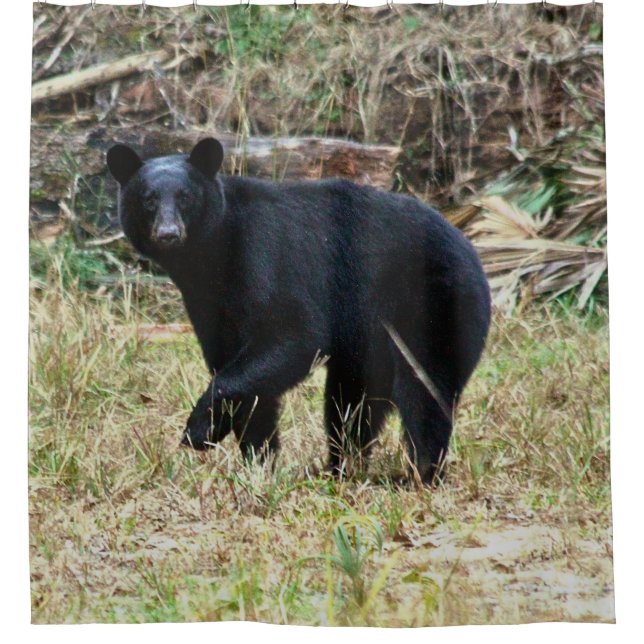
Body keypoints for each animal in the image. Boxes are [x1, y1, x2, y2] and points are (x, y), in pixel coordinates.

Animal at [107, 137, 491, 483]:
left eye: (185, 197)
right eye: (148, 200)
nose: (168, 234)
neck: (211, 256)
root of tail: (472, 253)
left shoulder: (265, 256)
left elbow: (293, 334)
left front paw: (199, 429)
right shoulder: (208, 303)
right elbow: (243, 374)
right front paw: (258, 463)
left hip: (433, 303)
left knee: (423, 388)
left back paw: (420, 474)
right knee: (351, 400)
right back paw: (340, 469)